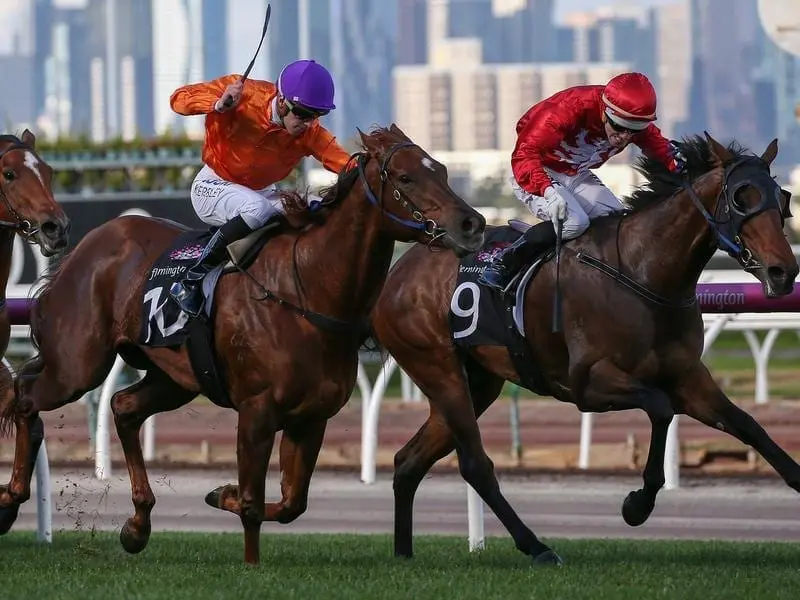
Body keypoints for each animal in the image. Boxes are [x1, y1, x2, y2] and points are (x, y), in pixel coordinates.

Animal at [0, 124, 484, 564]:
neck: (306, 288)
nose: (472, 224)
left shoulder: (312, 416)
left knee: (122, 407)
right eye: (405, 178)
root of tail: (85, 245)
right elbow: (253, 502)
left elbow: (291, 503)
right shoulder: (256, 411)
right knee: (25, 398)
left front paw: (220, 493)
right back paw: (11, 497)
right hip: (77, 367)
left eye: (441, 170)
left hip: (175, 378)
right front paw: (249, 559)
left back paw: (137, 525)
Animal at [368, 132, 800, 568]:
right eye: (742, 197)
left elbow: (749, 426)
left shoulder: (687, 377)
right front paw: (637, 505)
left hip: (476, 383)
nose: (784, 272)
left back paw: (403, 553)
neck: (642, 273)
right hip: (439, 368)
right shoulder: (591, 384)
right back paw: (537, 547)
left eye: (782, 198)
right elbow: (660, 408)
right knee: (475, 464)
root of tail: (396, 275)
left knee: (409, 461)